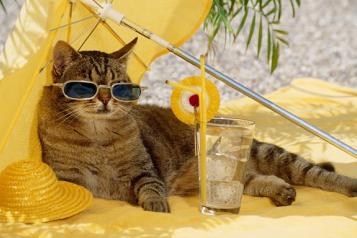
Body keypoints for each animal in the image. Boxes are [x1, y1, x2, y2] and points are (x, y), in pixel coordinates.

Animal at [38, 38, 356, 212]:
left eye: (118, 86)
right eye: (87, 86)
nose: (106, 99)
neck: (97, 135)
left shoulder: (144, 171)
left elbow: (151, 188)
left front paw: (156, 206)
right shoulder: (69, 178)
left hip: (273, 156)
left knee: (316, 174)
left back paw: (346, 185)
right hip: (226, 177)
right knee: (250, 182)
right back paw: (281, 192)